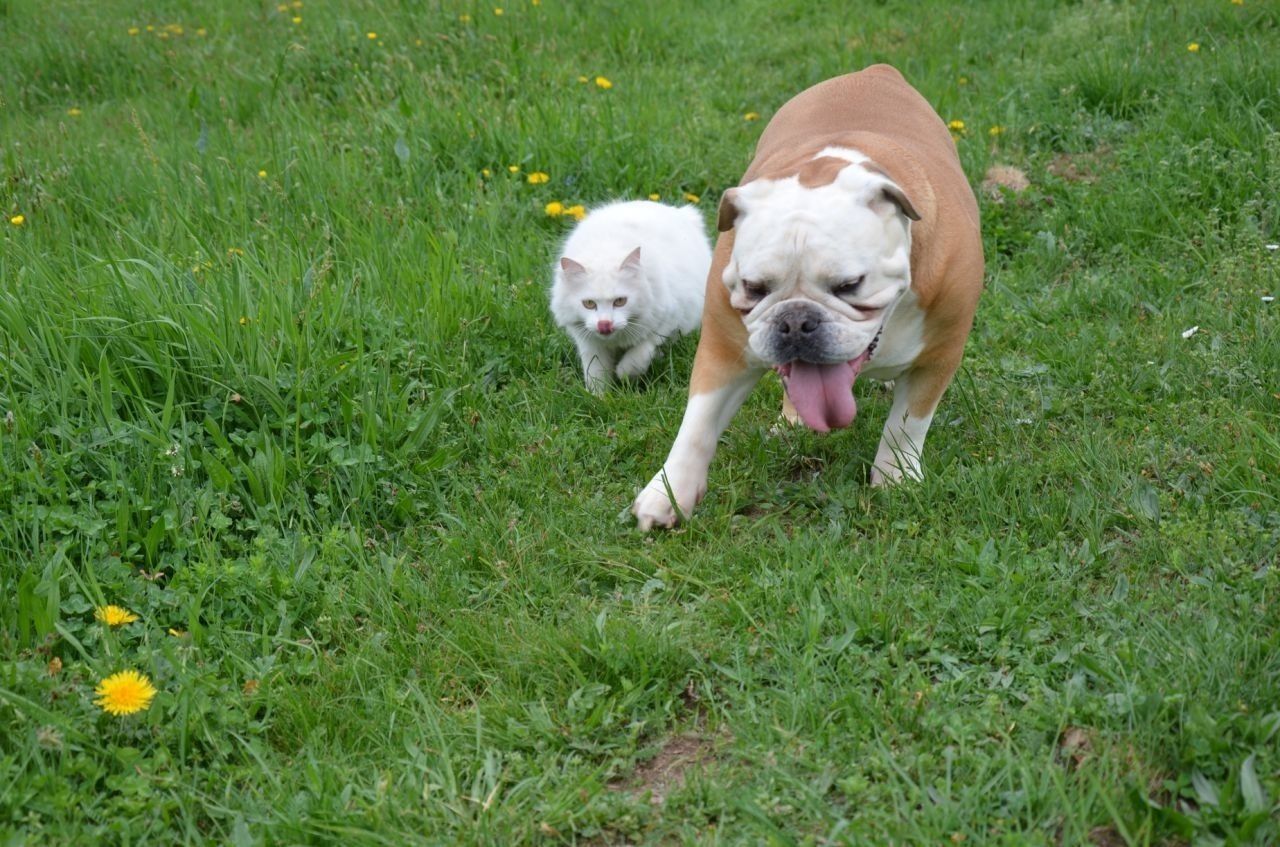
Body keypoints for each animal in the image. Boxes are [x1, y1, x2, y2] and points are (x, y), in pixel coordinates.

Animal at [547, 202, 711, 394]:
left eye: (620, 301)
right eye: (589, 304)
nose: (604, 325)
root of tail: (681, 212)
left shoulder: (666, 321)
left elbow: (638, 356)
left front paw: (624, 376)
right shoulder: (590, 343)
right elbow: (596, 374)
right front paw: (599, 398)